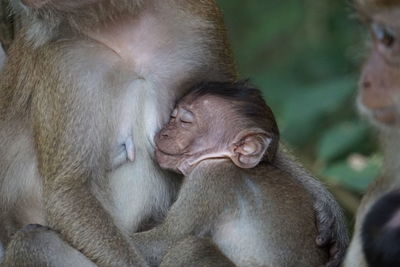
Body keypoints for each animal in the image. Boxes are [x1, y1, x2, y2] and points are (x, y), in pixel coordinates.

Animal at [133, 82, 326, 267]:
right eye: (172, 118)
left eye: (184, 122)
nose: (163, 133)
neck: (224, 158)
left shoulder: (210, 177)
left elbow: (164, 242)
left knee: (194, 248)